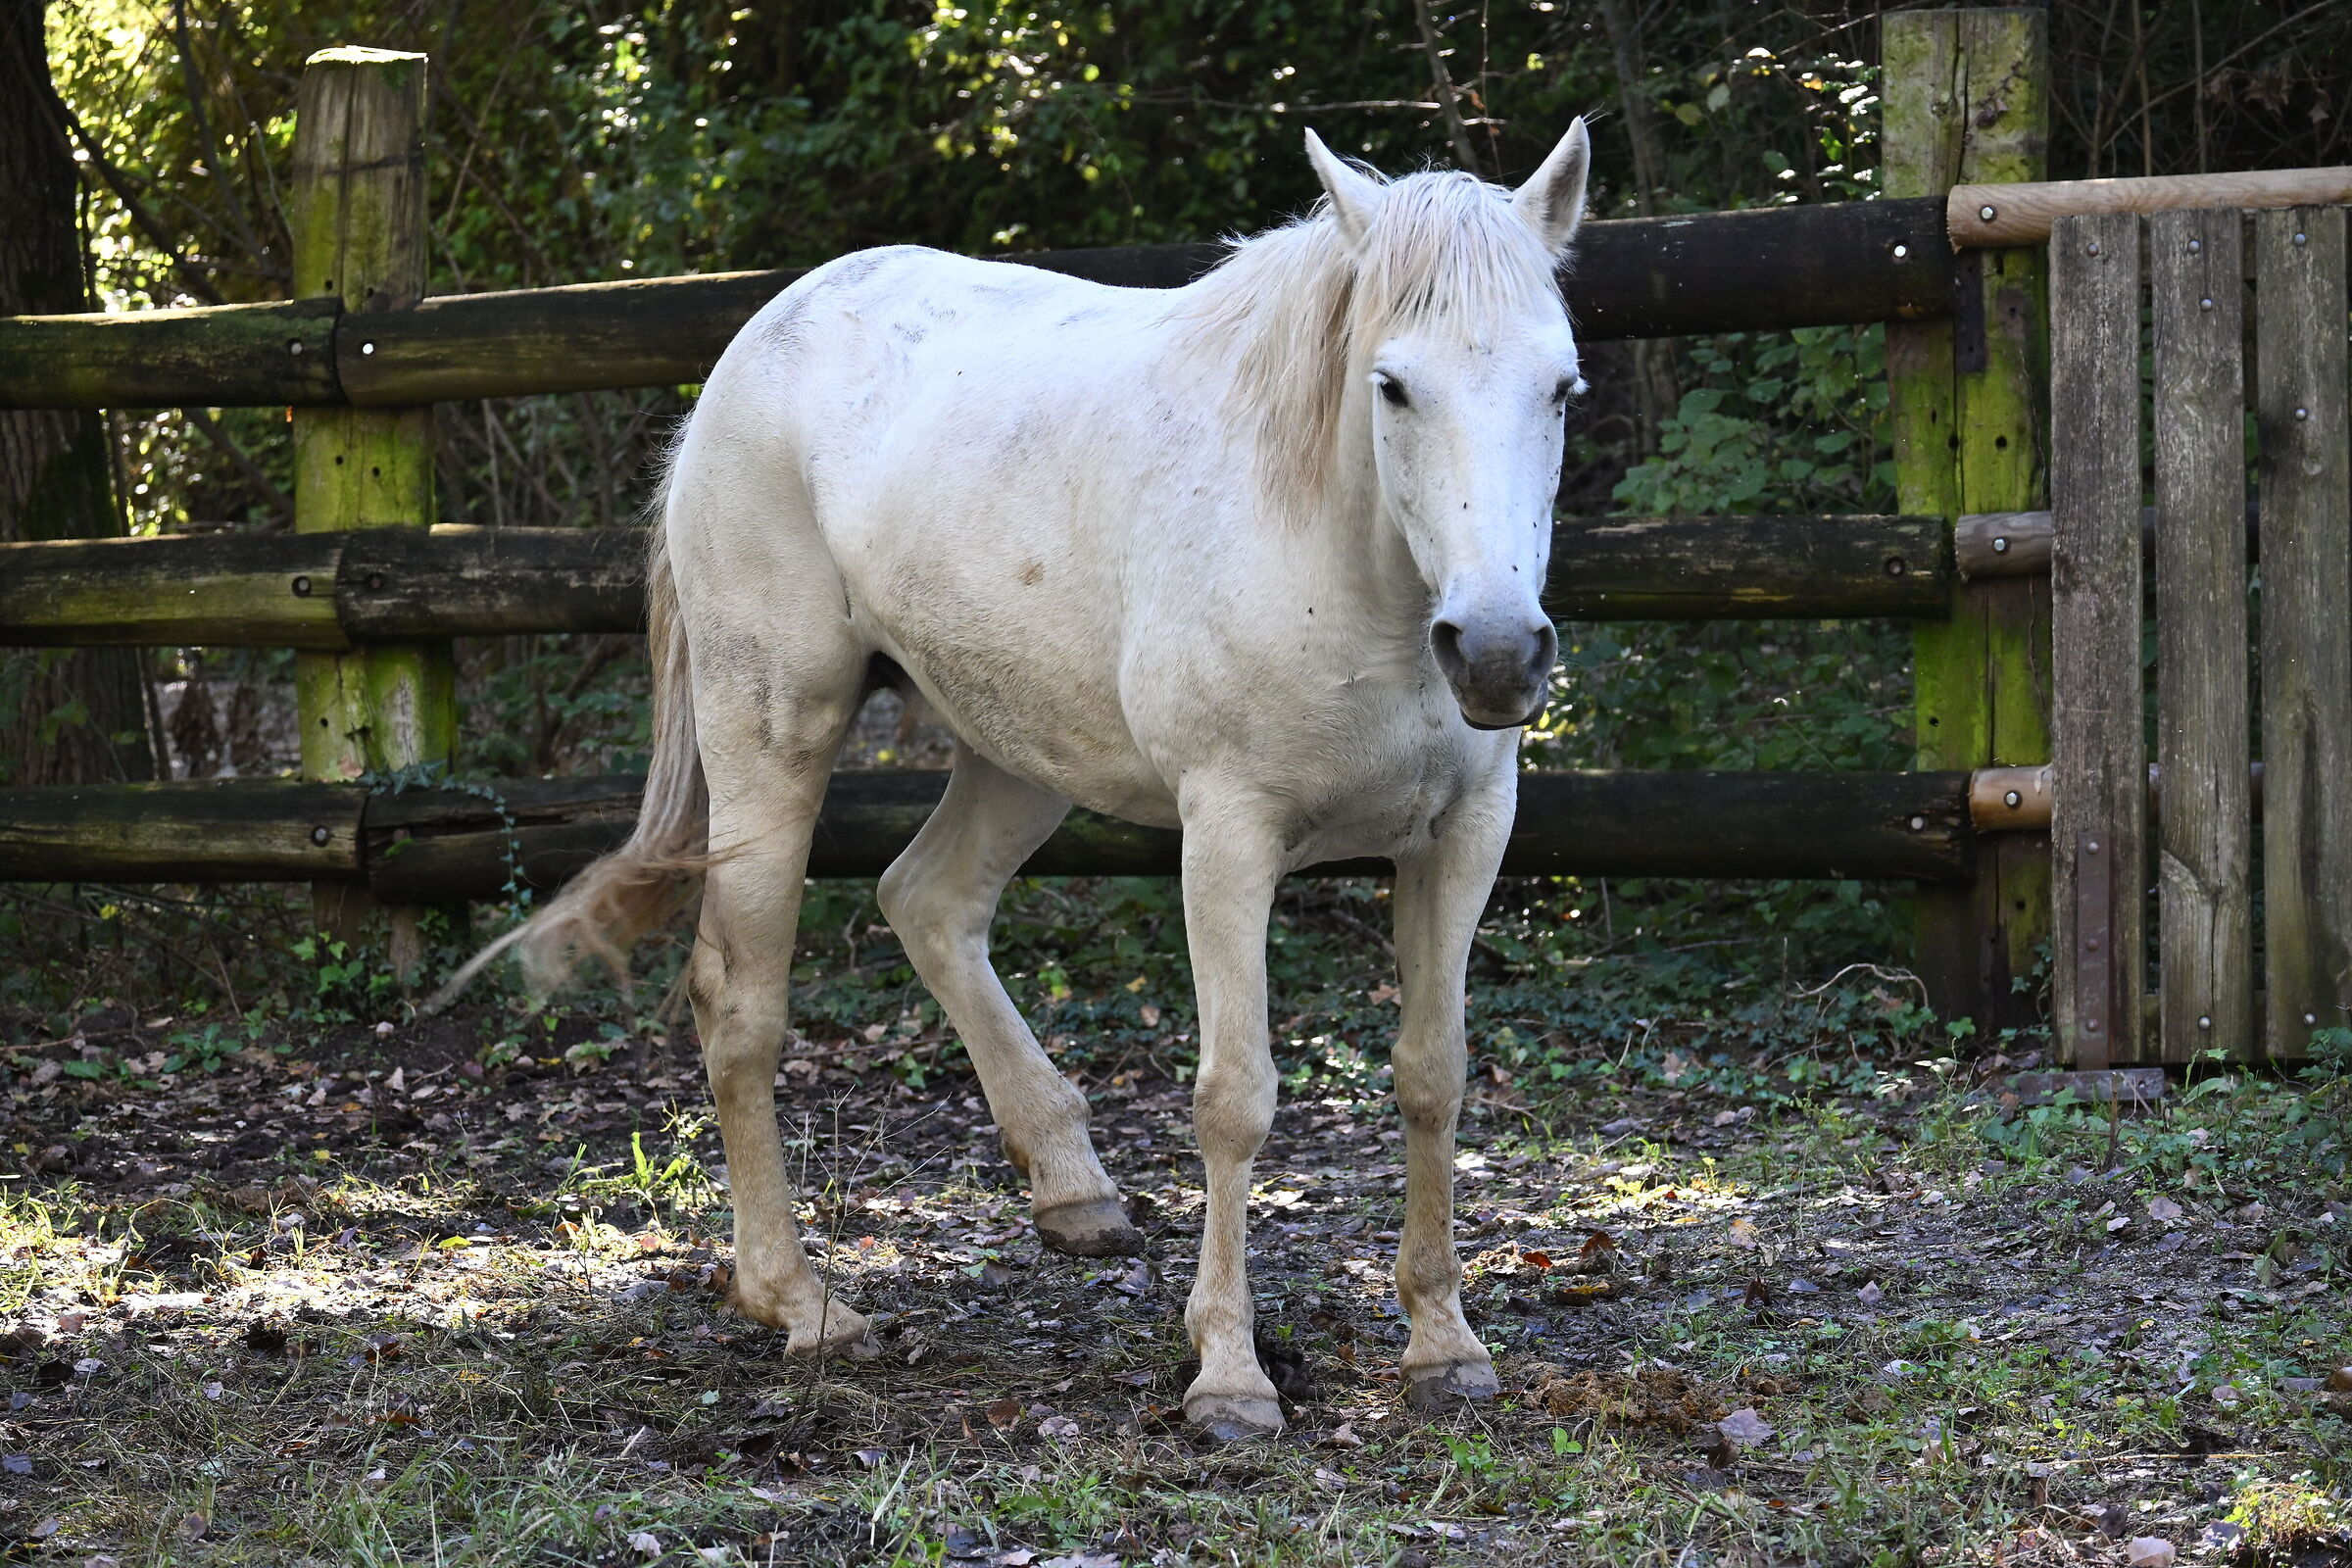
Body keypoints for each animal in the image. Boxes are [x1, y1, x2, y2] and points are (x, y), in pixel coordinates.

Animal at [436, 122, 1591, 1442]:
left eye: (1562, 388)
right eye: (1392, 386)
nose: (1495, 652)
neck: (1354, 572)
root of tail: (757, 342)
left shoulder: (1464, 837)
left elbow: (1432, 1078)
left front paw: (1446, 1343)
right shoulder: (1229, 835)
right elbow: (1235, 1096)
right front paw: (1229, 1373)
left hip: (1017, 753)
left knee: (926, 900)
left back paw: (1070, 1188)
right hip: (770, 733)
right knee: (741, 1001)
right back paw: (803, 1305)